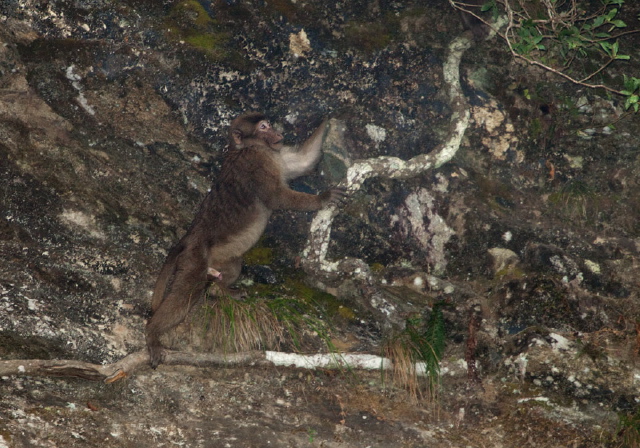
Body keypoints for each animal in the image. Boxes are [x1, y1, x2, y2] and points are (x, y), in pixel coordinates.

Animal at [146, 111, 344, 368]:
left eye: (270, 125)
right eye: (264, 127)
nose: (278, 133)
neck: (250, 147)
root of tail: (189, 237)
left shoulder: (274, 154)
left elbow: (303, 160)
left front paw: (330, 121)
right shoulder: (256, 162)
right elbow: (277, 197)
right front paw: (323, 198)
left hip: (218, 257)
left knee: (230, 268)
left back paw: (221, 291)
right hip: (194, 257)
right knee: (186, 292)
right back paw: (152, 333)